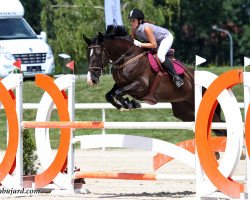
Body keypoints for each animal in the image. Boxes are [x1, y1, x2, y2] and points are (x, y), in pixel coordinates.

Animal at [82, 25, 227, 137]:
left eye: (98, 54)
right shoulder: (121, 84)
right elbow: (110, 94)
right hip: (183, 111)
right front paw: (125, 105)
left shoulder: (141, 85)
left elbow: (118, 93)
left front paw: (130, 104)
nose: (91, 80)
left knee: (222, 127)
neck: (127, 57)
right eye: (87, 55)